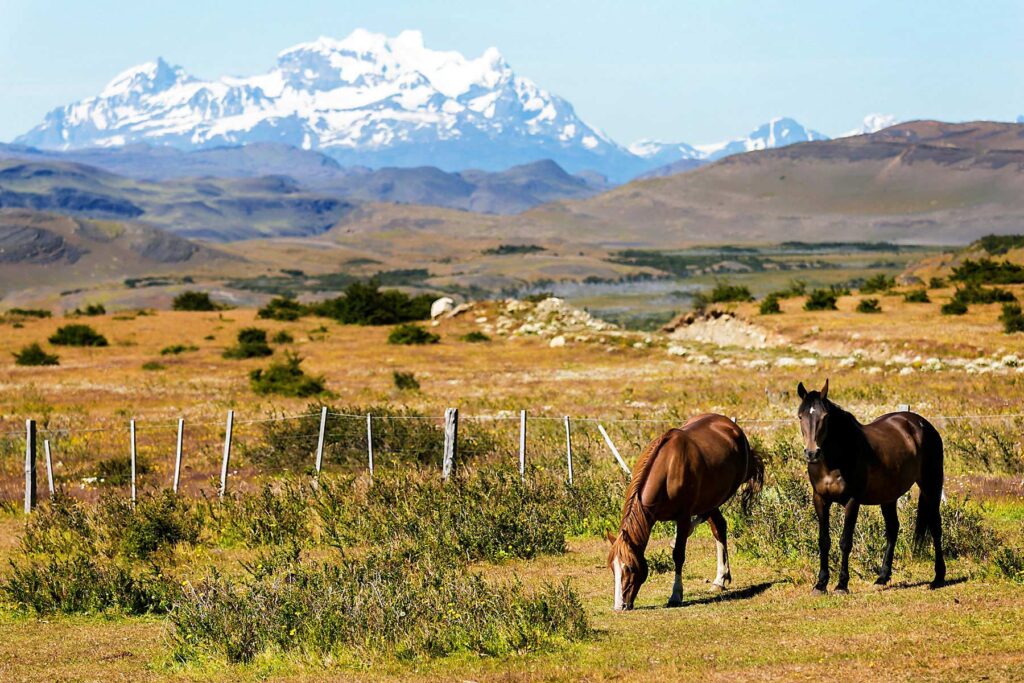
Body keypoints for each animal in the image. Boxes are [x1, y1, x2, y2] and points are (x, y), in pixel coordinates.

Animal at [602, 413, 765, 610]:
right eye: (613, 568)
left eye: (631, 568)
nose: (620, 607)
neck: (667, 468)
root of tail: (730, 425)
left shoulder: (684, 515)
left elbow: (678, 554)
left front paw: (676, 594)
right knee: (719, 527)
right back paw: (720, 580)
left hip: (726, 491)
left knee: (709, 518)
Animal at [794, 378, 946, 593]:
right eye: (800, 416)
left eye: (825, 417)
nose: (812, 453)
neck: (834, 460)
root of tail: (922, 424)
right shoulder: (820, 500)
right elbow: (824, 541)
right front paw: (821, 584)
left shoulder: (852, 501)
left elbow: (845, 542)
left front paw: (841, 584)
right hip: (889, 496)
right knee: (893, 529)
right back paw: (882, 577)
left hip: (931, 485)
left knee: (935, 526)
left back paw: (938, 578)